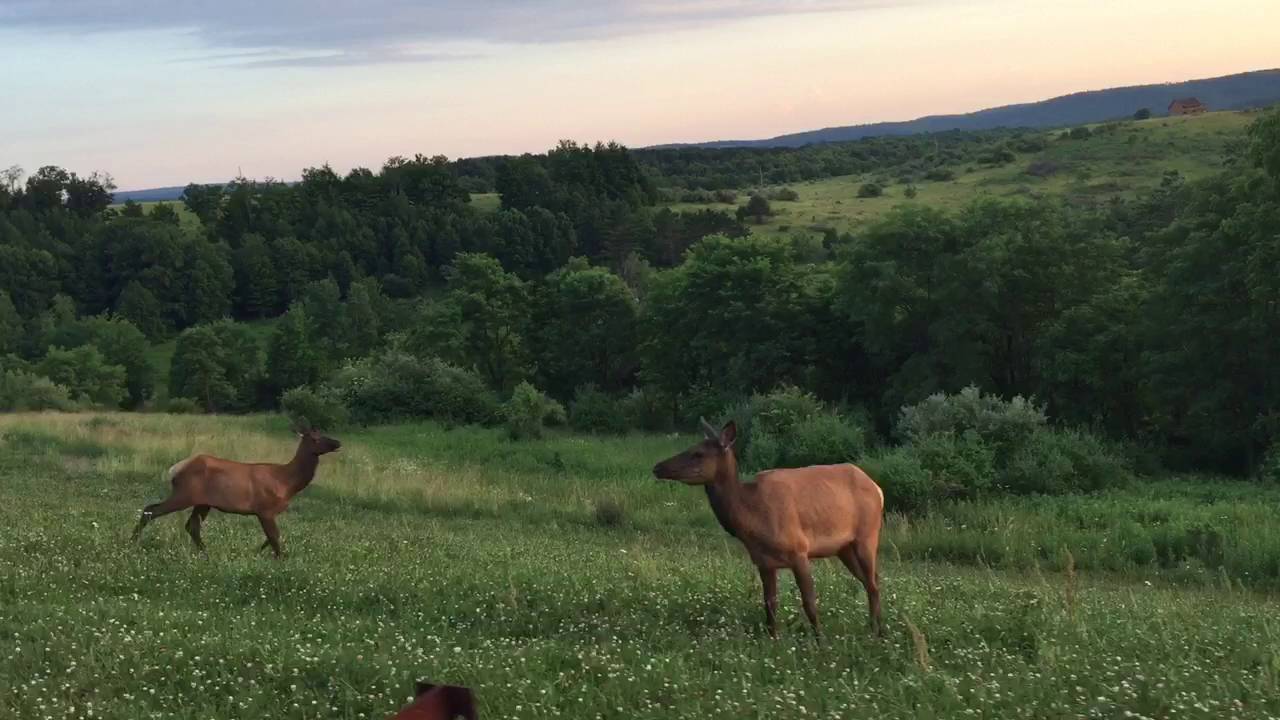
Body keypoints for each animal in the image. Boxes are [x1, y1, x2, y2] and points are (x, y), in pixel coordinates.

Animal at [131, 424, 341, 558]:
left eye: (323, 433)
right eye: (315, 438)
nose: (337, 443)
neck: (287, 483)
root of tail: (175, 469)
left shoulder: (267, 512)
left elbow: (271, 537)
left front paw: (258, 552)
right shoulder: (264, 509)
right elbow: (274, 537)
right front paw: (280, 558)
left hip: (202, 502)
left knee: (192, 525)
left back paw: (205, 552)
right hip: (184, 494)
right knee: (151, 509)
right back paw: (133, 542)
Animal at [652, 419, 884, 639]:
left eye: (698, 453)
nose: (657, 467)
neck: (752, 519)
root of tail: (878, 489)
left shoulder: (799, 550)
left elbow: (809, 602)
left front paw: (820, 642)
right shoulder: (764, 562)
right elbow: (770, 605)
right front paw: (773, 640)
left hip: (867, 535)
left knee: (873, 584)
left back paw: (876, 633)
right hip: (844, 548)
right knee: (871, 581)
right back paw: (877, 630)